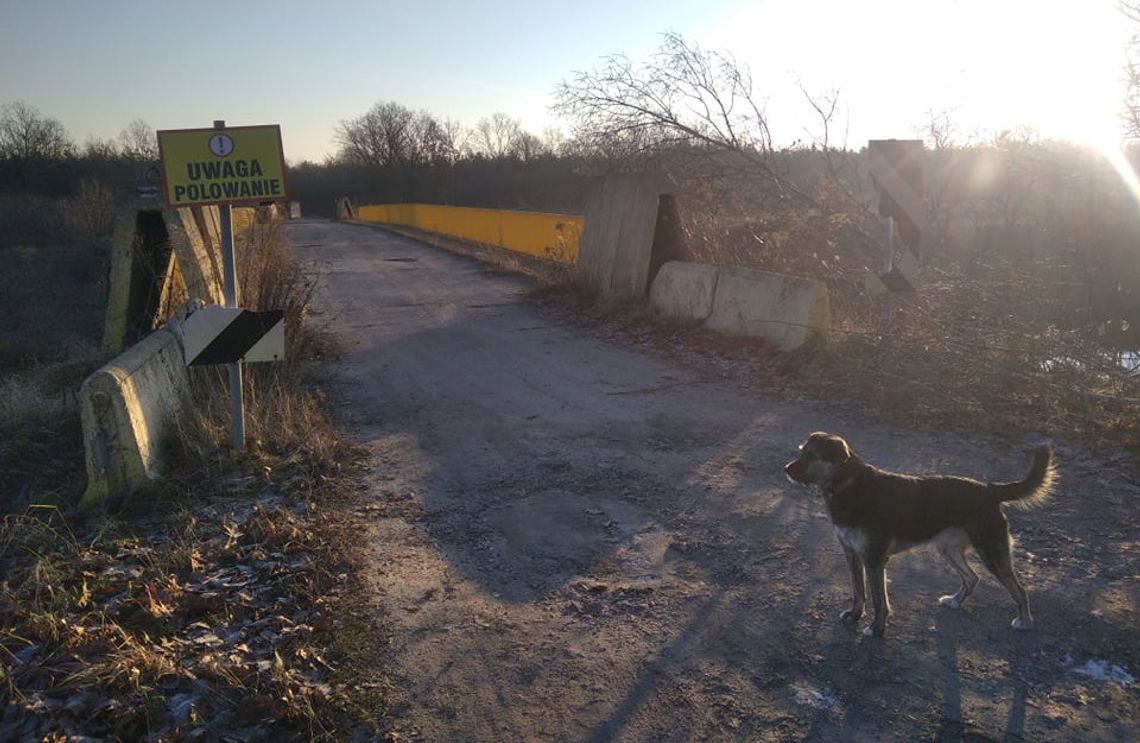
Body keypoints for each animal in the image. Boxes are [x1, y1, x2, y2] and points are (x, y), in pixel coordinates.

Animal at [784, 435, 1048, 638]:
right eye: (802, 451)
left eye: (812, 455)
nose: (786, 469)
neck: (849, 485)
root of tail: (991, 489)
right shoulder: (852, 554)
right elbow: (858, 591)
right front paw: (855, 615)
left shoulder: (874, 559)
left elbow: (879, 600)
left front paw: (876, 629)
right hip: (948, 549)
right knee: (972, 578)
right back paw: (955, 600)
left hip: (992, 553)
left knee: (1020, 590)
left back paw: (1025, 621)